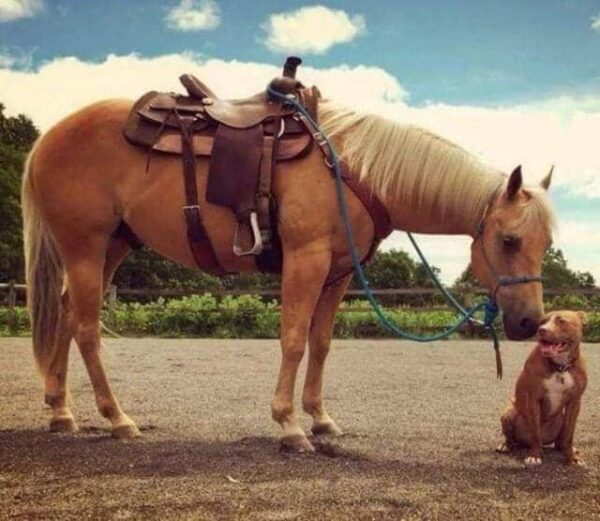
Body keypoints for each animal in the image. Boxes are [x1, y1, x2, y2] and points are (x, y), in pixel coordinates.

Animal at [22, 97, 556, 450]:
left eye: (546, 244)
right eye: (510, 241)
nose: (531, 323)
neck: (350, 170)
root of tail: (48, 137)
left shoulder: (338, 273)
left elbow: (320, 344)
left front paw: (320, 419)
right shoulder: (307, 260)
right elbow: (295, 340)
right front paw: (289, 425)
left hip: (113, 245)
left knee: (66, 316)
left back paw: (61, 412)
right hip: (85, 247)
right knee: (86, 328)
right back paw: (117, 419)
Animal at [494, 310, 588, 466]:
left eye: (561, 321)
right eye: (542, 322)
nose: (541, 330)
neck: (559, 367)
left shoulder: (575, 402)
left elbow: (569, 433)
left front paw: (572, 458)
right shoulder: (533, 398)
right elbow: (535, 432)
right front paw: (534, 455)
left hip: (561, 418)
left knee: (560, 441)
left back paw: (567, 449)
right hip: (509, 414)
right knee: (512, 438)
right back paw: (506, 445)